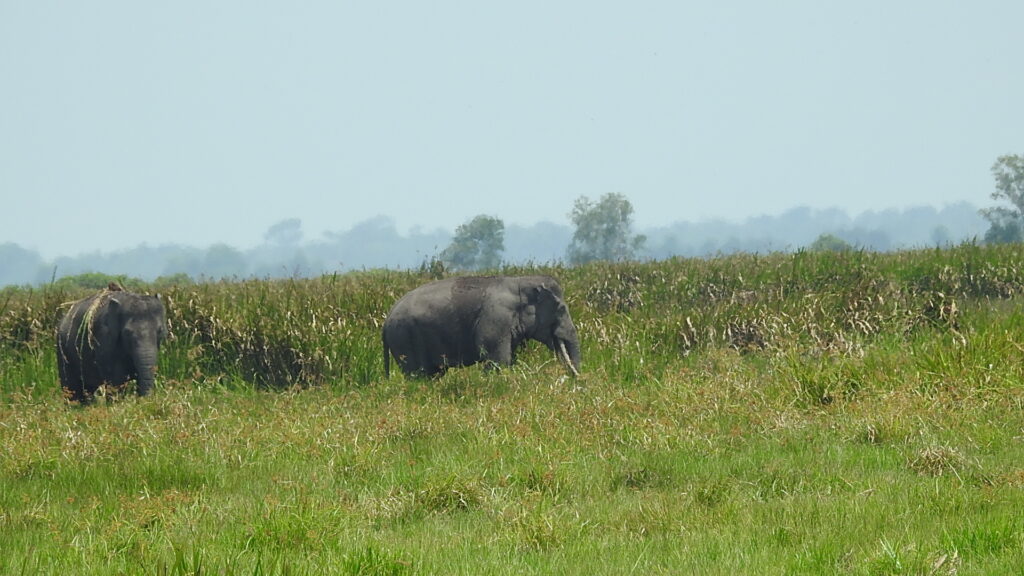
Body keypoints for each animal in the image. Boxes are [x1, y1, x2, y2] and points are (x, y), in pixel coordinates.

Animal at [382, 272, 581, 377]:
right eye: (560, 309)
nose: (577, 379)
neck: (520, 280)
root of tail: (386, 319)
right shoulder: (496, 318)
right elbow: (497, 358)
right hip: (405, 339)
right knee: (418, 374)